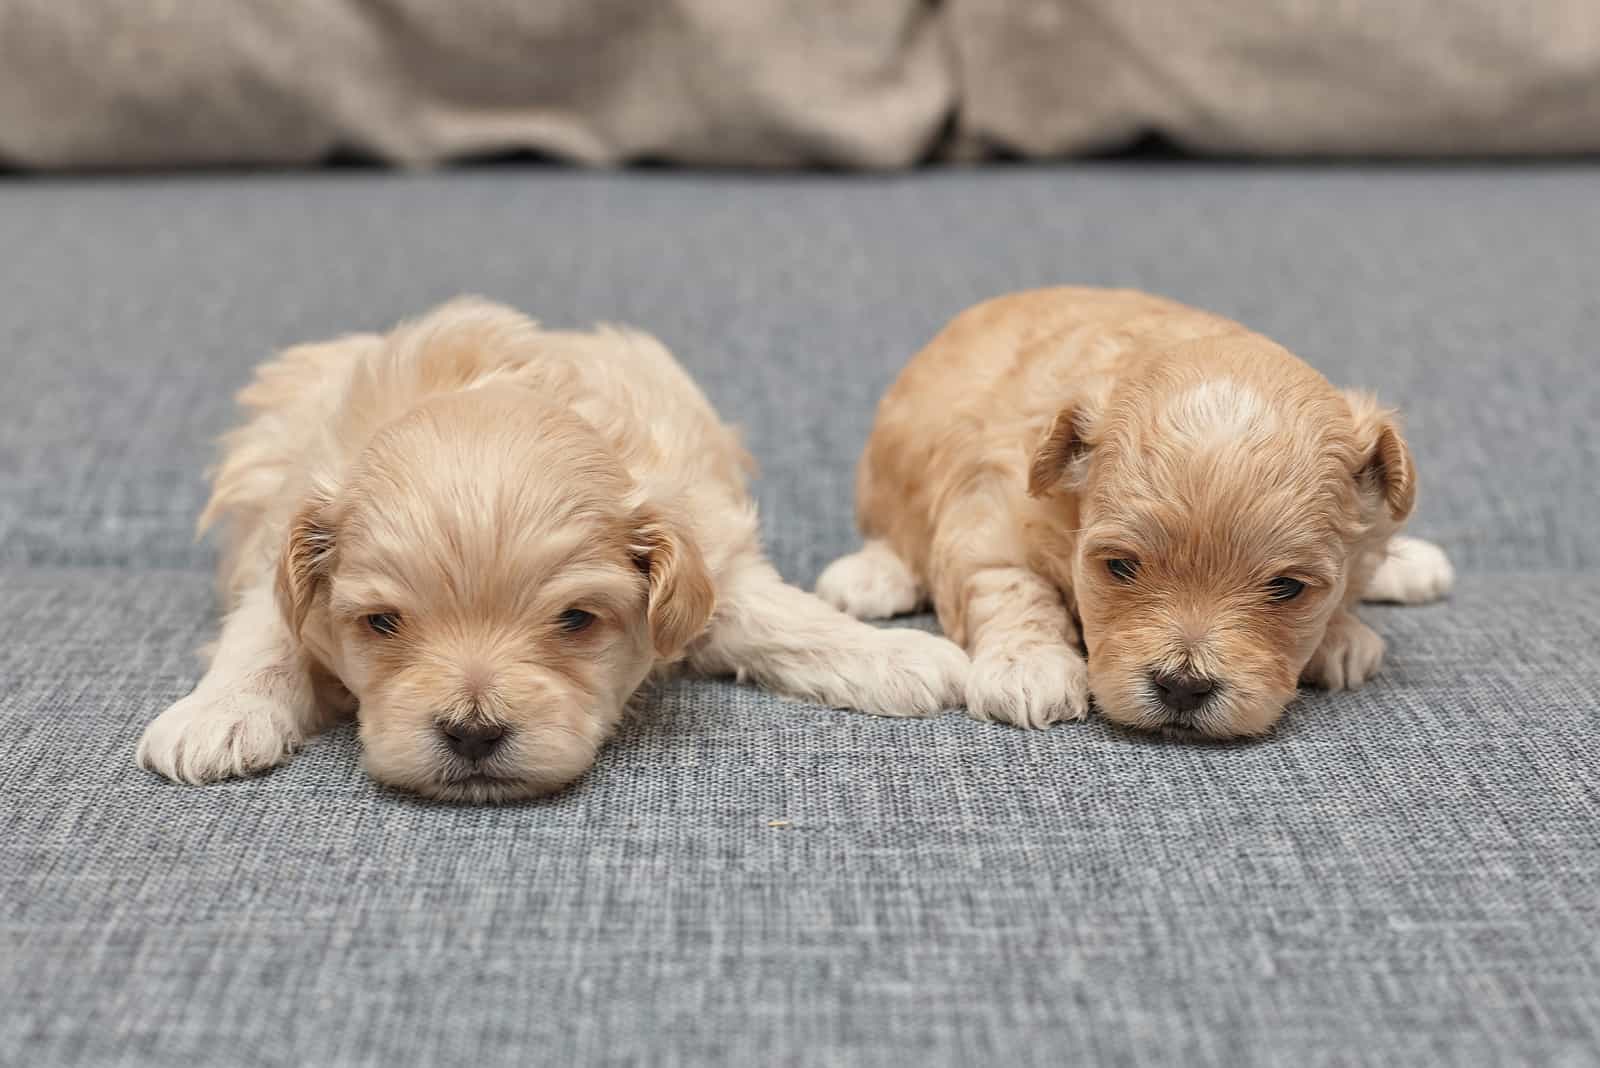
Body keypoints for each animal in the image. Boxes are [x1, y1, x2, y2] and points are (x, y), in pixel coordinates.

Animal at [140, 295, 960, 796]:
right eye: (383, 624)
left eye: (575, 621)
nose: (472, 733)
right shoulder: (278, 554)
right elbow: (261, 635)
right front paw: (216, 716)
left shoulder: (711, 553)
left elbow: (784, 615)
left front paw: (897, 656)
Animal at [819, 287, 1459, 738]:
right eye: (1120, 567)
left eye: (1287, 588)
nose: (1182, 688)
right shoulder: (988, 523)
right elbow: (1010, 589)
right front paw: (1030, 666)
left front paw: (1341, 635)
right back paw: (870, 576)